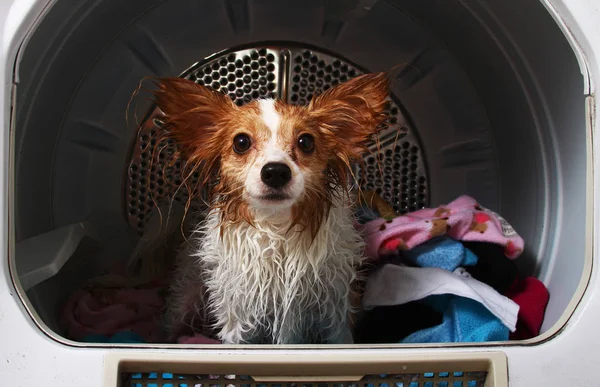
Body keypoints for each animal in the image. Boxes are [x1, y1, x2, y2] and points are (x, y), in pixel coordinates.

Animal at [150, 71, 392, 344]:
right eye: (241, 142)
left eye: (306, 142)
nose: (276, 171)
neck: (277, 225)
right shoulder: (238, 314)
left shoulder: (334, 307)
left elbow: (341, 340)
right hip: (184, 299)